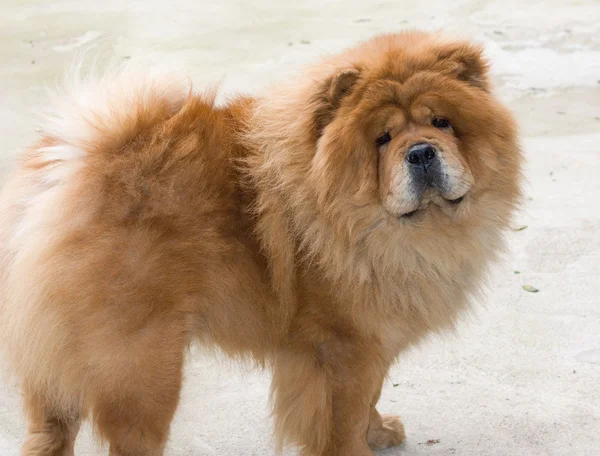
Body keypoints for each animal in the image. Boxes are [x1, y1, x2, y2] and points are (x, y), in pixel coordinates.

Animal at [0, 31, 520, 456]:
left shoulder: (371, 340)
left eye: (442, 122)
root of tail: (68, 166)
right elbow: (344, 418)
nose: (421, 152)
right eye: (382, 138)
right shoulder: (343, 347)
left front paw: (381, 432)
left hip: (56, 365)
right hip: (142, 369)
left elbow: (369, 399)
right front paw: (358, 448)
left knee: (49, 433)